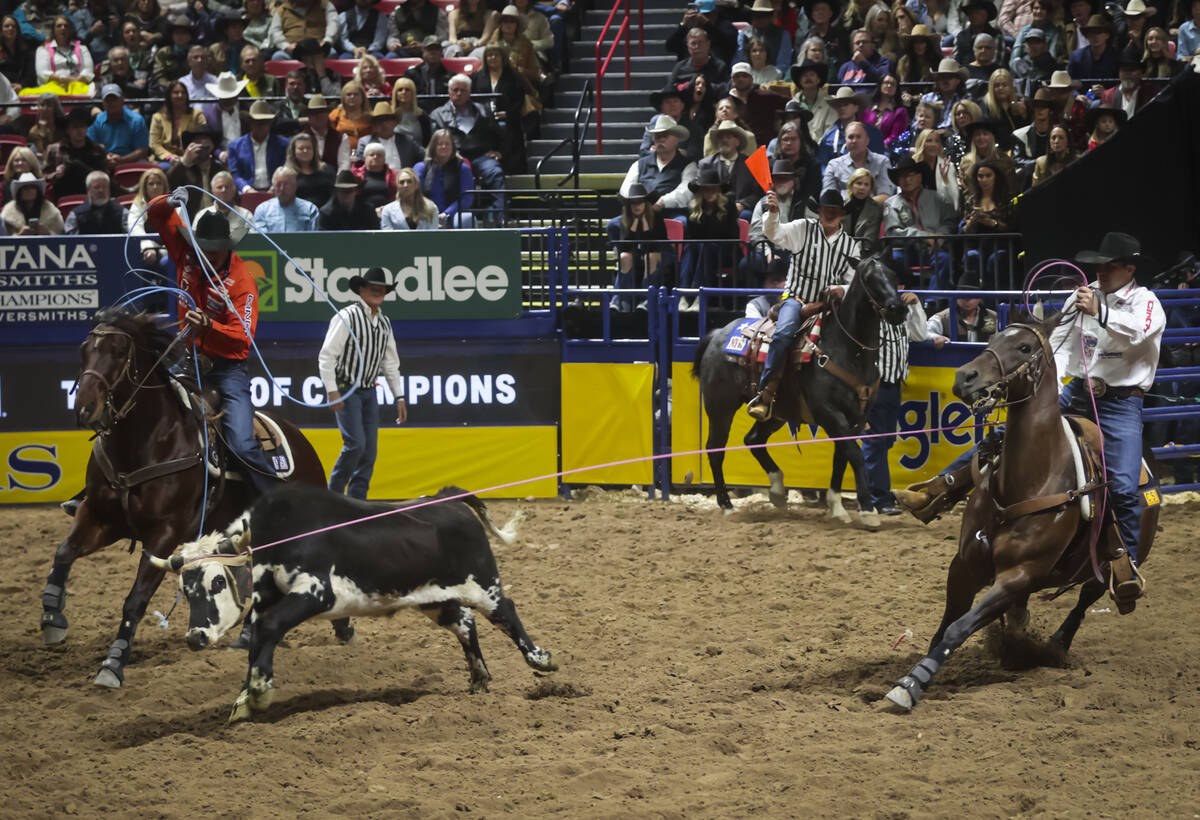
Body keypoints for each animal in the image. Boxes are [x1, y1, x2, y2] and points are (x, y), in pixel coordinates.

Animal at [41, 312, 331, 691]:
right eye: (84, 350)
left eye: (119, 352)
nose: (86, 409)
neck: (146, 441)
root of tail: (305, 444)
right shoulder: (99, 517)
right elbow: (64, 552)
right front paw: (52, 615)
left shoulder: (165, 533)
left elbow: (135, 600)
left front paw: (113, 663)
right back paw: (247, 635)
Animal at [691, 256, 902, 525]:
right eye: (868, 278)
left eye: (893, 275)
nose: (898, 308)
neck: (849, 350)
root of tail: (718, 334)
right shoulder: (829, 412)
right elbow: (854, 454)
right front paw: (867, 510)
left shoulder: (856, 417)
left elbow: (842, 456)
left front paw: (837, 506)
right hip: (720, 407)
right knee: (715, 449)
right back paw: (727, 505)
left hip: (777, 412)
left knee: (753, 439)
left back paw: (778, 490)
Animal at [888, 316, 1156, 710]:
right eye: (994, 339)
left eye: (1024, 347)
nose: (965, 375)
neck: (1031, 480)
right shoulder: (965, 566)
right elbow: (948, 623)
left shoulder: (1019, 575)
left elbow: (958, 627)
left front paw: (910, 684)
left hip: (1107, 563)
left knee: (1089, 595)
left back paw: (1055, 645)